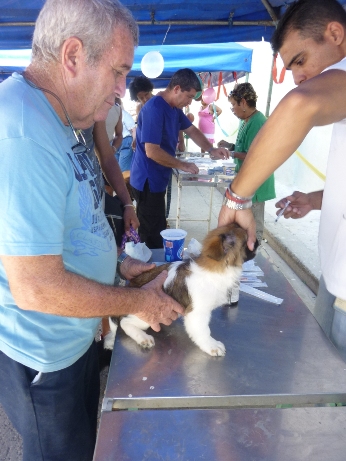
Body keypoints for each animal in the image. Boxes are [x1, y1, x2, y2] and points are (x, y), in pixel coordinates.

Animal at [115, 223, 256, 356]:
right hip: (145, 317)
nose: (257, 241)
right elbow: (203, 332)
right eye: (246, 242)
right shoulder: (197, 313)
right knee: (125, 322)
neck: (217, 269)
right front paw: (212, 346)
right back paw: (143, 338)